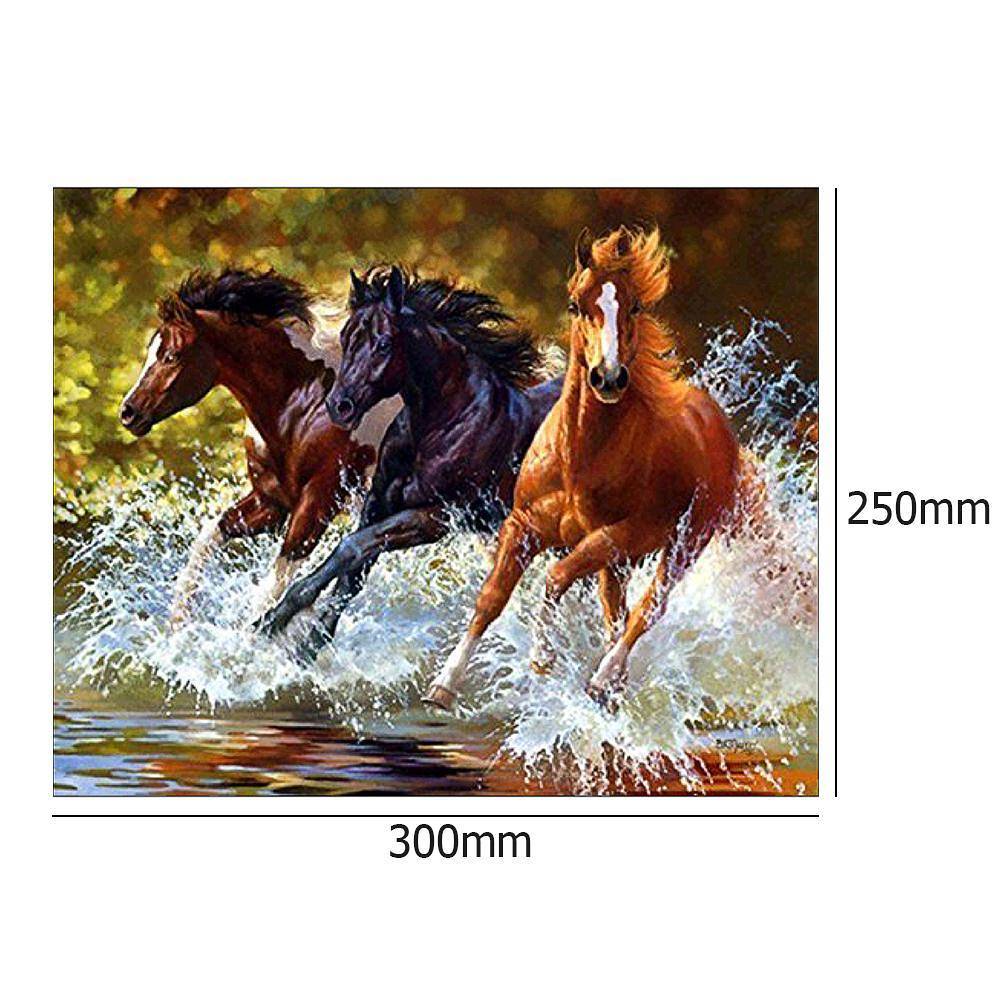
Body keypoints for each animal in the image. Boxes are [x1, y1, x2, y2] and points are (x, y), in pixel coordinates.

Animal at [119, 268, 400, 624]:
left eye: (171, 356)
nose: (128, 412)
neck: (304, 406)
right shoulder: (271, 501)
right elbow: (208, 537)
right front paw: (177, 624)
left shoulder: (317, 503)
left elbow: (271, 589)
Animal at [254, 264, 563, 662]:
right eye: (346, 337)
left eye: (384, 344)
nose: (339, 406)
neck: (443, 423)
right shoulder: (380, 502)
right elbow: (352, 573)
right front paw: (304, 645)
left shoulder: (435, 516)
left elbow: (350, 549)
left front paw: (276, 620)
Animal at [426, 226, 743, 712]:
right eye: (576, 305)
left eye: (635, 306)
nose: (607, 378)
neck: (578, 459)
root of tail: (717, 423)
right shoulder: (523, 526)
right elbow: (491, 598)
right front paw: (444, 684)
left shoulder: (624, 534)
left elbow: (556, 578)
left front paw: (542, 657)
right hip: (617, 562)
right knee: (618, 611)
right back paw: (612, 684)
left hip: (682, 544)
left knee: (647, 609)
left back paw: (603, 677)